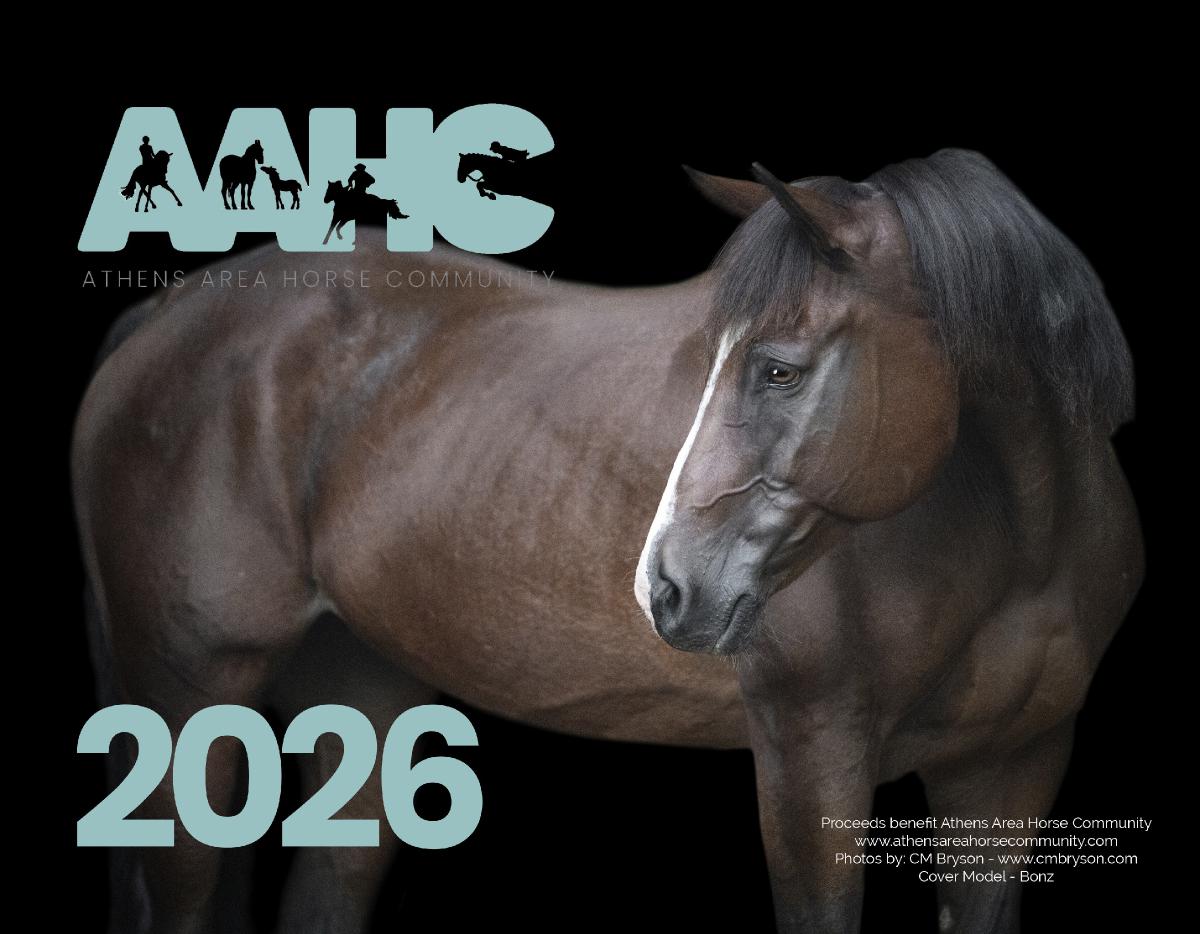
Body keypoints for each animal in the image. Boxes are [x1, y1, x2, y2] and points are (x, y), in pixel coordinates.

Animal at [72, 148, 1142, 934]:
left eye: (780, 369)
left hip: (362, 696)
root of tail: (164, 313)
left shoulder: (1010, 773)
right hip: (189, 697)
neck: (1025, 546)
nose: (664, 586)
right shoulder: (812, 762)